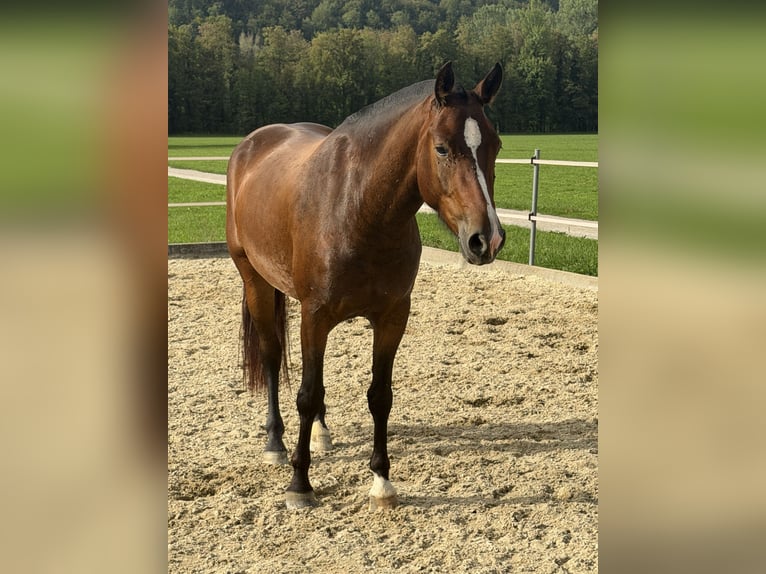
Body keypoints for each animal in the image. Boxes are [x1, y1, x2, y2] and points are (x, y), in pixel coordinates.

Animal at [226, 62, 505, 509]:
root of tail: (251, 146)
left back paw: (321, 433)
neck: (357, 206)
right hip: (255, 282)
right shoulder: (314, 316)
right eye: (442, 148)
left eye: (494, 145)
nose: (487, 239)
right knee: (272, 357)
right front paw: (299, 484)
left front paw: (381, 481)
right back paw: (275, 444)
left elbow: (379, 395)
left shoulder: (391, 317)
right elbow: (306, 394)